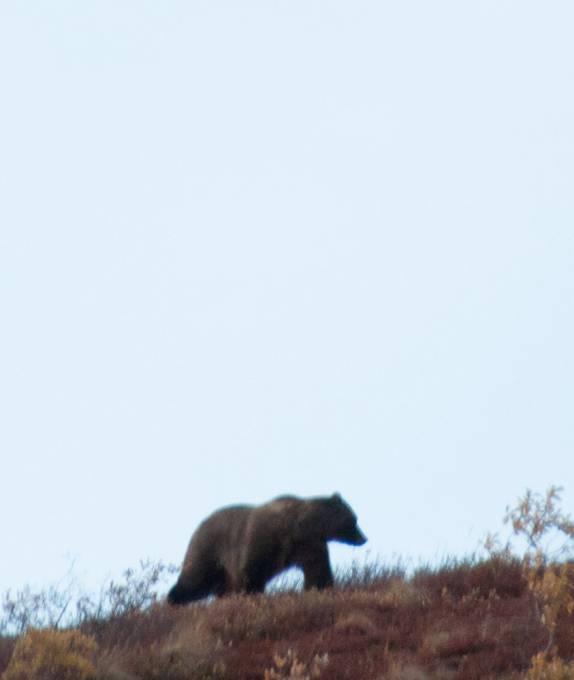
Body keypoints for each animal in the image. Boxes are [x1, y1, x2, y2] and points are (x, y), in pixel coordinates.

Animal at [167, 493, 367, 605]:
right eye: (354, 519)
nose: (364, 538)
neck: (298, 527)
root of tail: (199, 526)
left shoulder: (308, 545)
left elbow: (317, 570)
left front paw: (321, 587)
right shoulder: (264, 540)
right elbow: (251, 571)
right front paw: (251, 594)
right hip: (209, 549)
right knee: (195, 580)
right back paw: (173, 599)